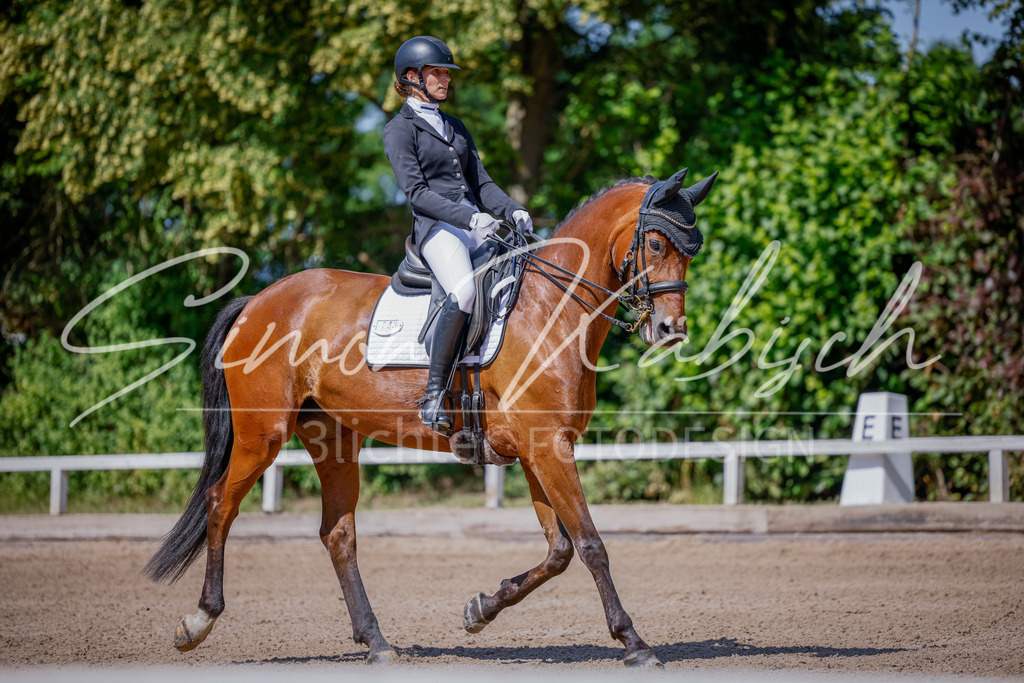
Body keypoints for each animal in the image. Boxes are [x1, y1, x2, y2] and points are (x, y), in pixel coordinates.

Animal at [144, 167, 718, 668]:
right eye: (656, 245)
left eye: (691, 250)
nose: (671, 331)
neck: (552, 307)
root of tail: (258, 300)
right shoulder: (547, 447)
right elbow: (591, 545)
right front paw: (634, 643)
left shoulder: (540, 448)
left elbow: (559, 550)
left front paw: (480, 609)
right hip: (261, 435)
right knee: (221, 504)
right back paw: (198, 622)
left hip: (333, 439)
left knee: (338, 534)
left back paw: (376, 643)